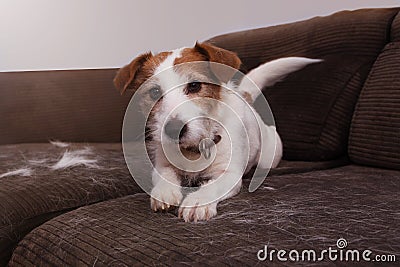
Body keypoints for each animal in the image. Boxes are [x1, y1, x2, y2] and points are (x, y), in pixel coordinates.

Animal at [114, 42, 320, 222]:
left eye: (195, 85)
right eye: (155, 92)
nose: (173, 130)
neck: (193, 149)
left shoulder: (229, 174)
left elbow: (212, 186)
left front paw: (197, 201)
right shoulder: (162, 165)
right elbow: (165, 176)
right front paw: (164, 192)